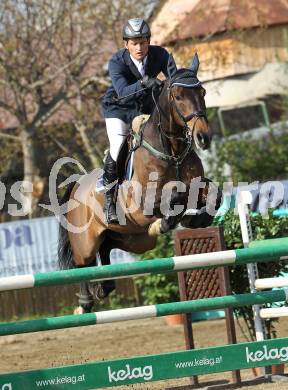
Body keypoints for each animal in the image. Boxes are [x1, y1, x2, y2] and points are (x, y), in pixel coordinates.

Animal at [57, 53, 222, 312]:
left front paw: (197, 219)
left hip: (134, 239)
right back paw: (84, 303)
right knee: (81, 264)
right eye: (178, 96)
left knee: (106, 246)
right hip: (85, 242)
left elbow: (214, 193)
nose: (203, 138)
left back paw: (104, 287)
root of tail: (76, 185)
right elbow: (175, 196)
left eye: (202, 92)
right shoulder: (144, 203)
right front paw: (165, 223)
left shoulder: (197, 184)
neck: (172, 151)